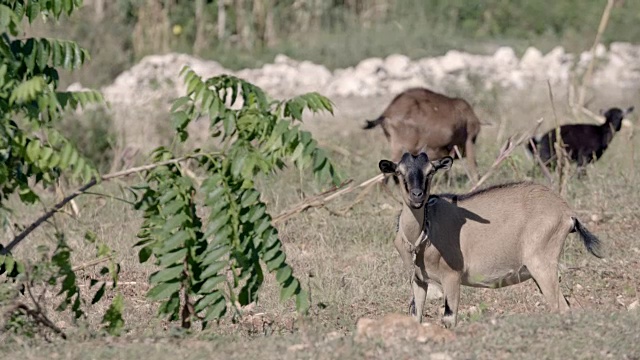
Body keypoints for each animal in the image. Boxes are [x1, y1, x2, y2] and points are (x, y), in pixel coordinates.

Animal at [380, 150, 604, 328]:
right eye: (399, 172)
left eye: (430, 171)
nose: (417, 196)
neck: (424, 231)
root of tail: (567, 213)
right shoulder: (418, 281)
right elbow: (415, 315)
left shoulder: (451, 276)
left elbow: (449, 318)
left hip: (542, 264)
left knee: (560, 307)